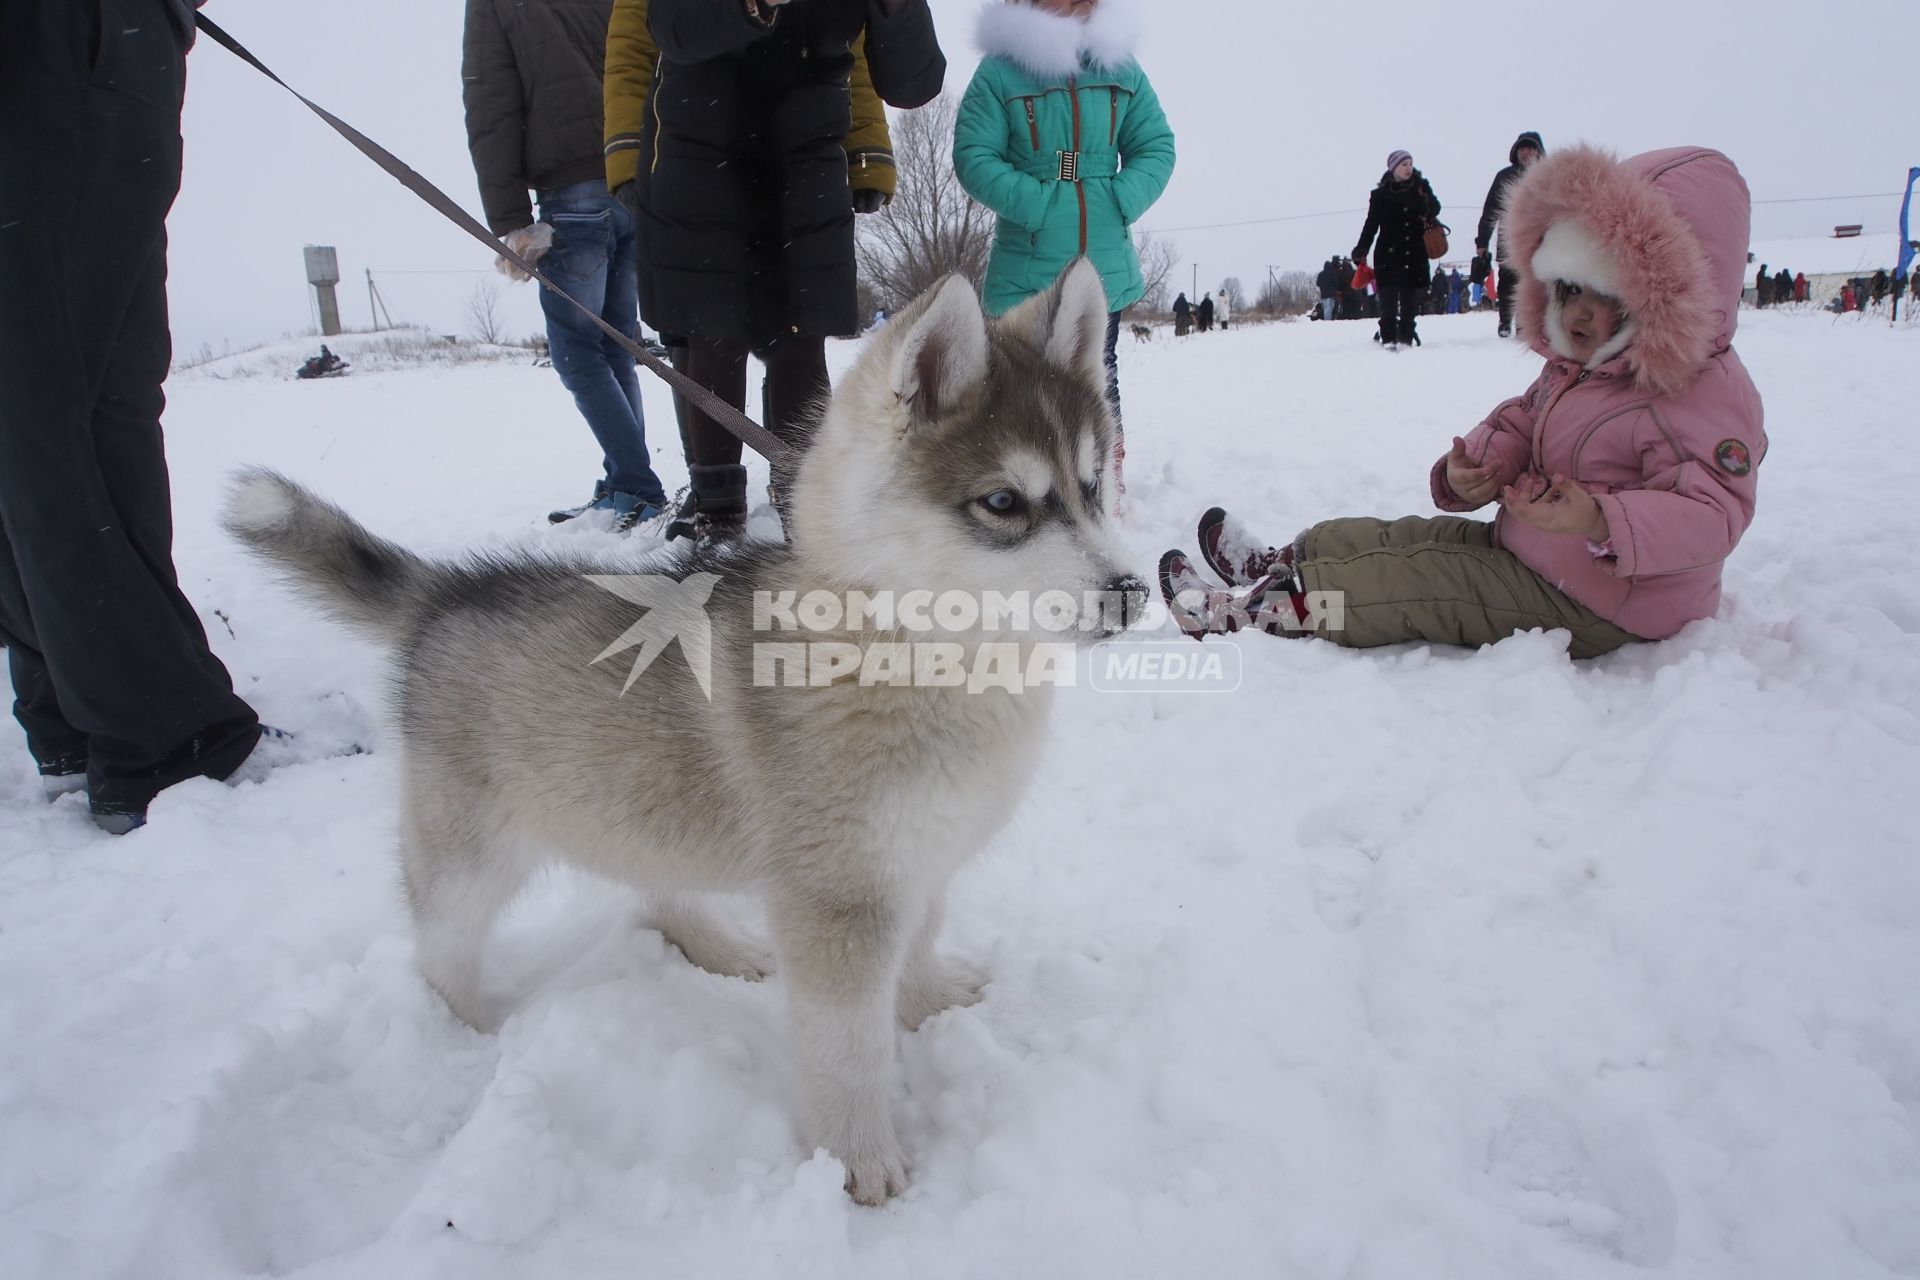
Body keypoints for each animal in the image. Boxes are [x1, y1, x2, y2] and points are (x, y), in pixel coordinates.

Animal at [224, 257, 1136, 1205]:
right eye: (1003, 501)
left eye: (1093, 485)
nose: (1133, 593)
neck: (913, 654)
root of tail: (447, 591)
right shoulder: (839, 899)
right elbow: (848, 1048)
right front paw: (860, 1161)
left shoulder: (919, 860)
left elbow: (920, 941)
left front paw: (925, 999)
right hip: (471, 857)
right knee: (442, 950)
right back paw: (459, 1047)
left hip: (632, 800)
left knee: (654, 884)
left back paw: (716, 946)